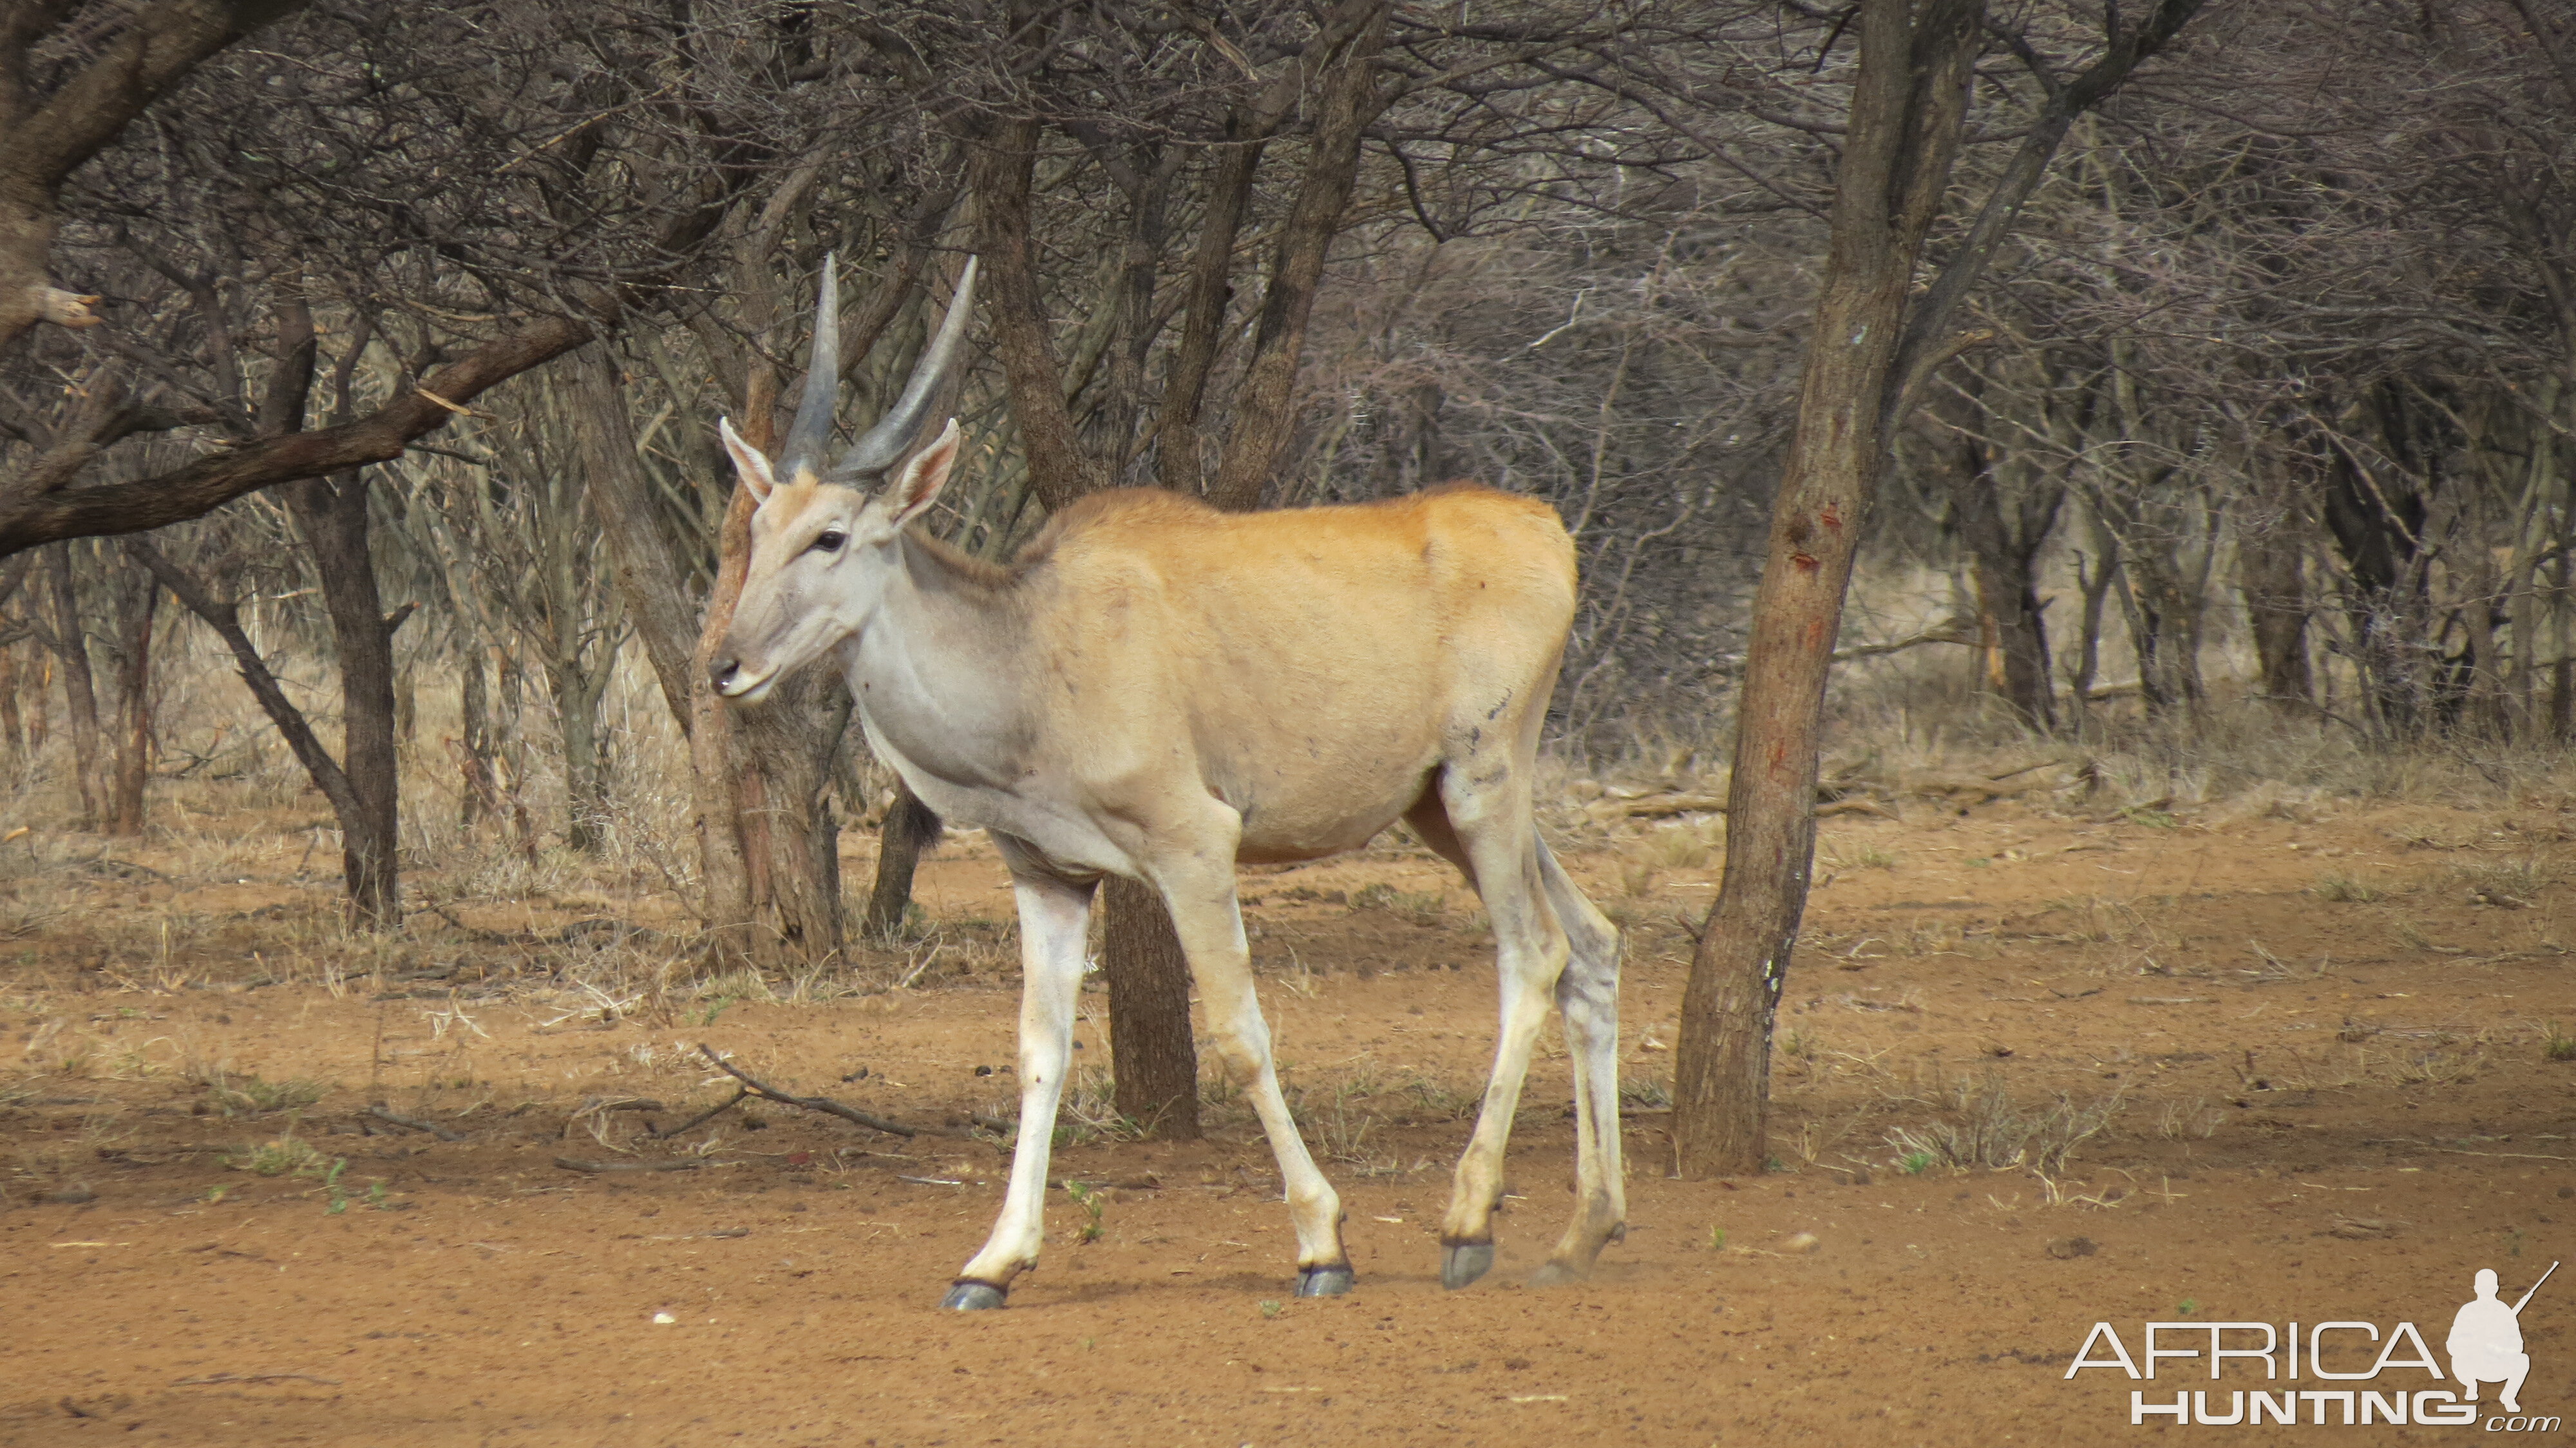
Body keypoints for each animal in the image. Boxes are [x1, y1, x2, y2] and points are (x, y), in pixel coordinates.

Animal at [706, 259, 1628, 1309]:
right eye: (756, 526)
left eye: (829, 537)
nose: (727, 668)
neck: (1030, 649)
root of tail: (1546, 529)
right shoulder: (1050, 877)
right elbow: (1040, 1052)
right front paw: (994, 1261)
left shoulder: (1194, 848)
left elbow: (1237, 1031)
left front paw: (1323, 1243)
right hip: (1441, 806)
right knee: (1592, 944)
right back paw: (1583, 1233)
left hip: (1484, 781)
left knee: (1534, 954)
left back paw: (1468, 1221)